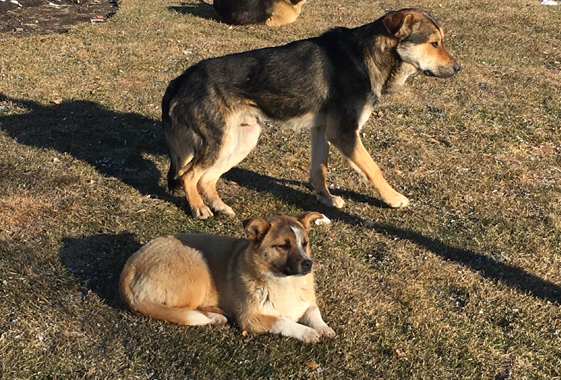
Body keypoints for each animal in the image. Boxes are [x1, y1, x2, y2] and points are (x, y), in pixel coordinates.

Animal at [118, 212, 334, 342]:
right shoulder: (251, 319)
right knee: (183, 310)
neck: (284, 281)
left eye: (304, 243)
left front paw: (324, 328)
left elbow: (314, 313)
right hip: (198, 268)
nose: (308, 264)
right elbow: (283, 321)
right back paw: (214, 316)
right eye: (283, 246)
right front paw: (306, 332)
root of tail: (129, 268)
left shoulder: (306, 303)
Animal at [161, 7, 460, 218]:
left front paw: (325, 199)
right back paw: (198, 208)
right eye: (434, 43)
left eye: (442, 41)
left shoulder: (321, 130)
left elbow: (319, 170)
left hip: (241, 140)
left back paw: (219, 206)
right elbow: (374, 169)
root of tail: (182, 78)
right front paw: (393, 198)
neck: (366, 56)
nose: (458, 68)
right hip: (221, 142)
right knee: (188, 175)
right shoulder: (344, 133)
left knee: (206, 178)